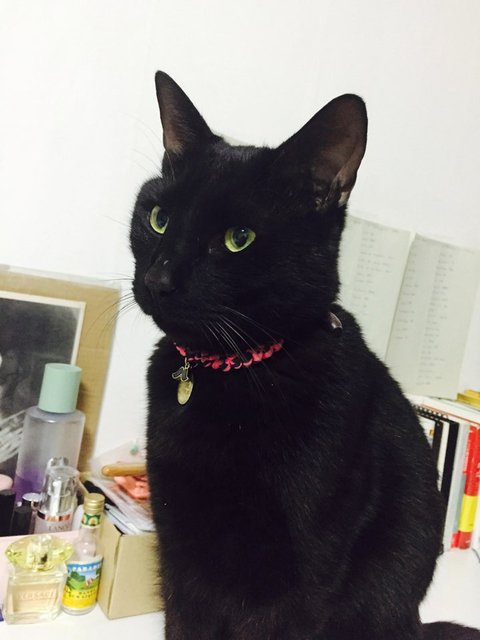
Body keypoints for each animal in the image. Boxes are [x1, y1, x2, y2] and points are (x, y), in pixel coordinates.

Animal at [130, 71, 480, 640]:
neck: (236, 372)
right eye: (159, 218)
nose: (158, 280)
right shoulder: (179, 553)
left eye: (239, 238)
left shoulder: (298, 578)